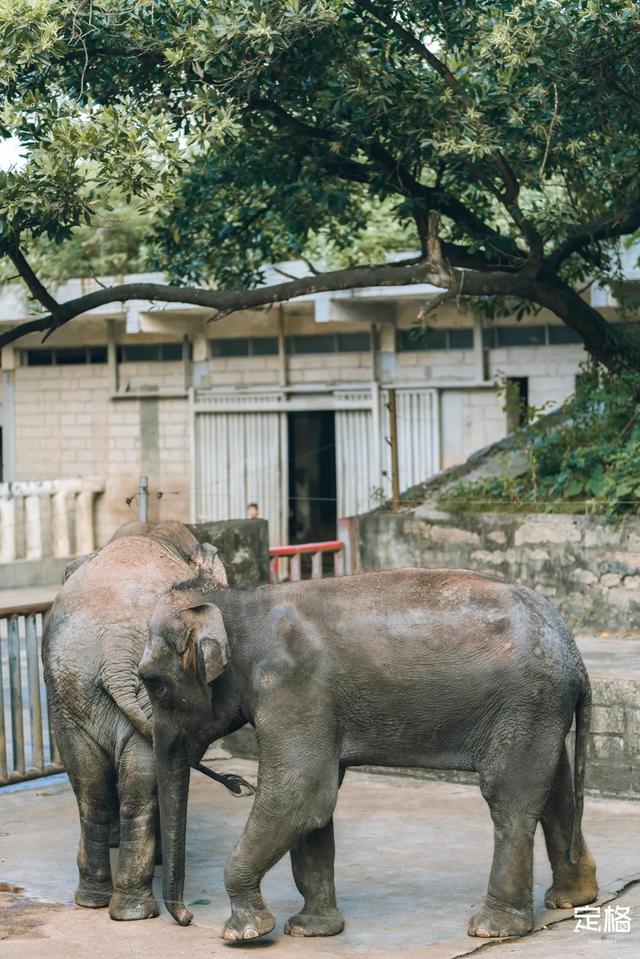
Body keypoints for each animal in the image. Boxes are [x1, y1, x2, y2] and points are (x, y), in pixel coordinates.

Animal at [42, 524, 234, 924]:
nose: (187, 917)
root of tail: (115, 648)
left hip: (69, 691)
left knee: (91, 790)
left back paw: (95, 900)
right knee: (138, 791)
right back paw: (136, 910)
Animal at [138, 568, 596, 940]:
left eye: (154, 684)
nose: (186, 919)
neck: (237, 603)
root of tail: (574, 653)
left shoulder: (292, 686)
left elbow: (299, 793)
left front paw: (244, 933)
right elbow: (315, 807)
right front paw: (311, 930)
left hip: (525, 703)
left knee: (509, 800)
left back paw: (494, 928)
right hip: (541, 709)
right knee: (556, 791)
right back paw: (571, 899)